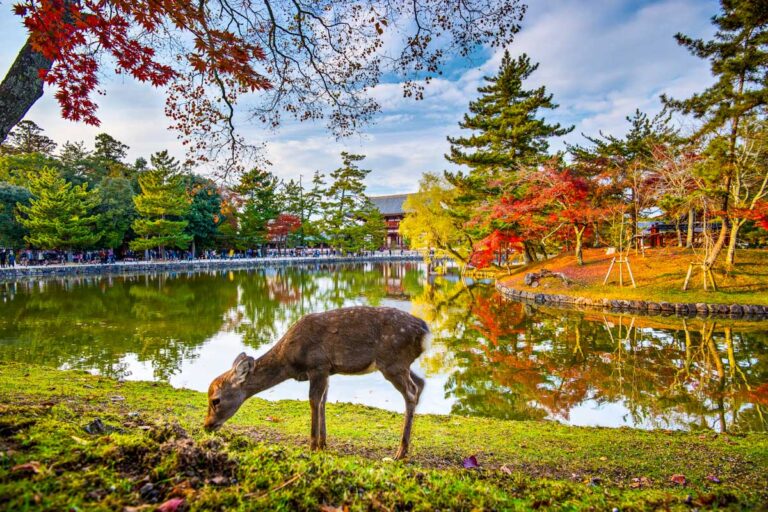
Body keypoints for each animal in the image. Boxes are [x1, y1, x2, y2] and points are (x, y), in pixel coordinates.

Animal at [204, 306, 430, 460]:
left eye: (216, 400)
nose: (206, 425)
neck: (289, 360)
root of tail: (425, 331)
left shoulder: (318, 365)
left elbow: (314, 401)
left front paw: (312, 446)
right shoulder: (327, 370)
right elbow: (323, 401)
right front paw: (323, 444)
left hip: (393, 361)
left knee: (411, 391)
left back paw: (400, 452)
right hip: (400, 364)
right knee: (420, 383)